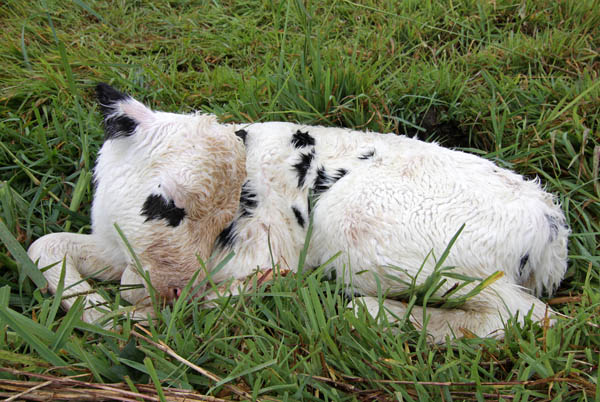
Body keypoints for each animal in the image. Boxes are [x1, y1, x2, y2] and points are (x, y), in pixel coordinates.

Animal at [28, 83, 569, 342]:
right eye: (164, 204)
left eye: (226, 220)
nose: (169, 292)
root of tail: (551, 225)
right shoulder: (113, 248)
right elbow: (42, 246)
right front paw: (93, 307)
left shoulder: (264, 253)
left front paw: (135, 319)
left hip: (375, 234)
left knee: (529, 318)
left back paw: (367, 312)